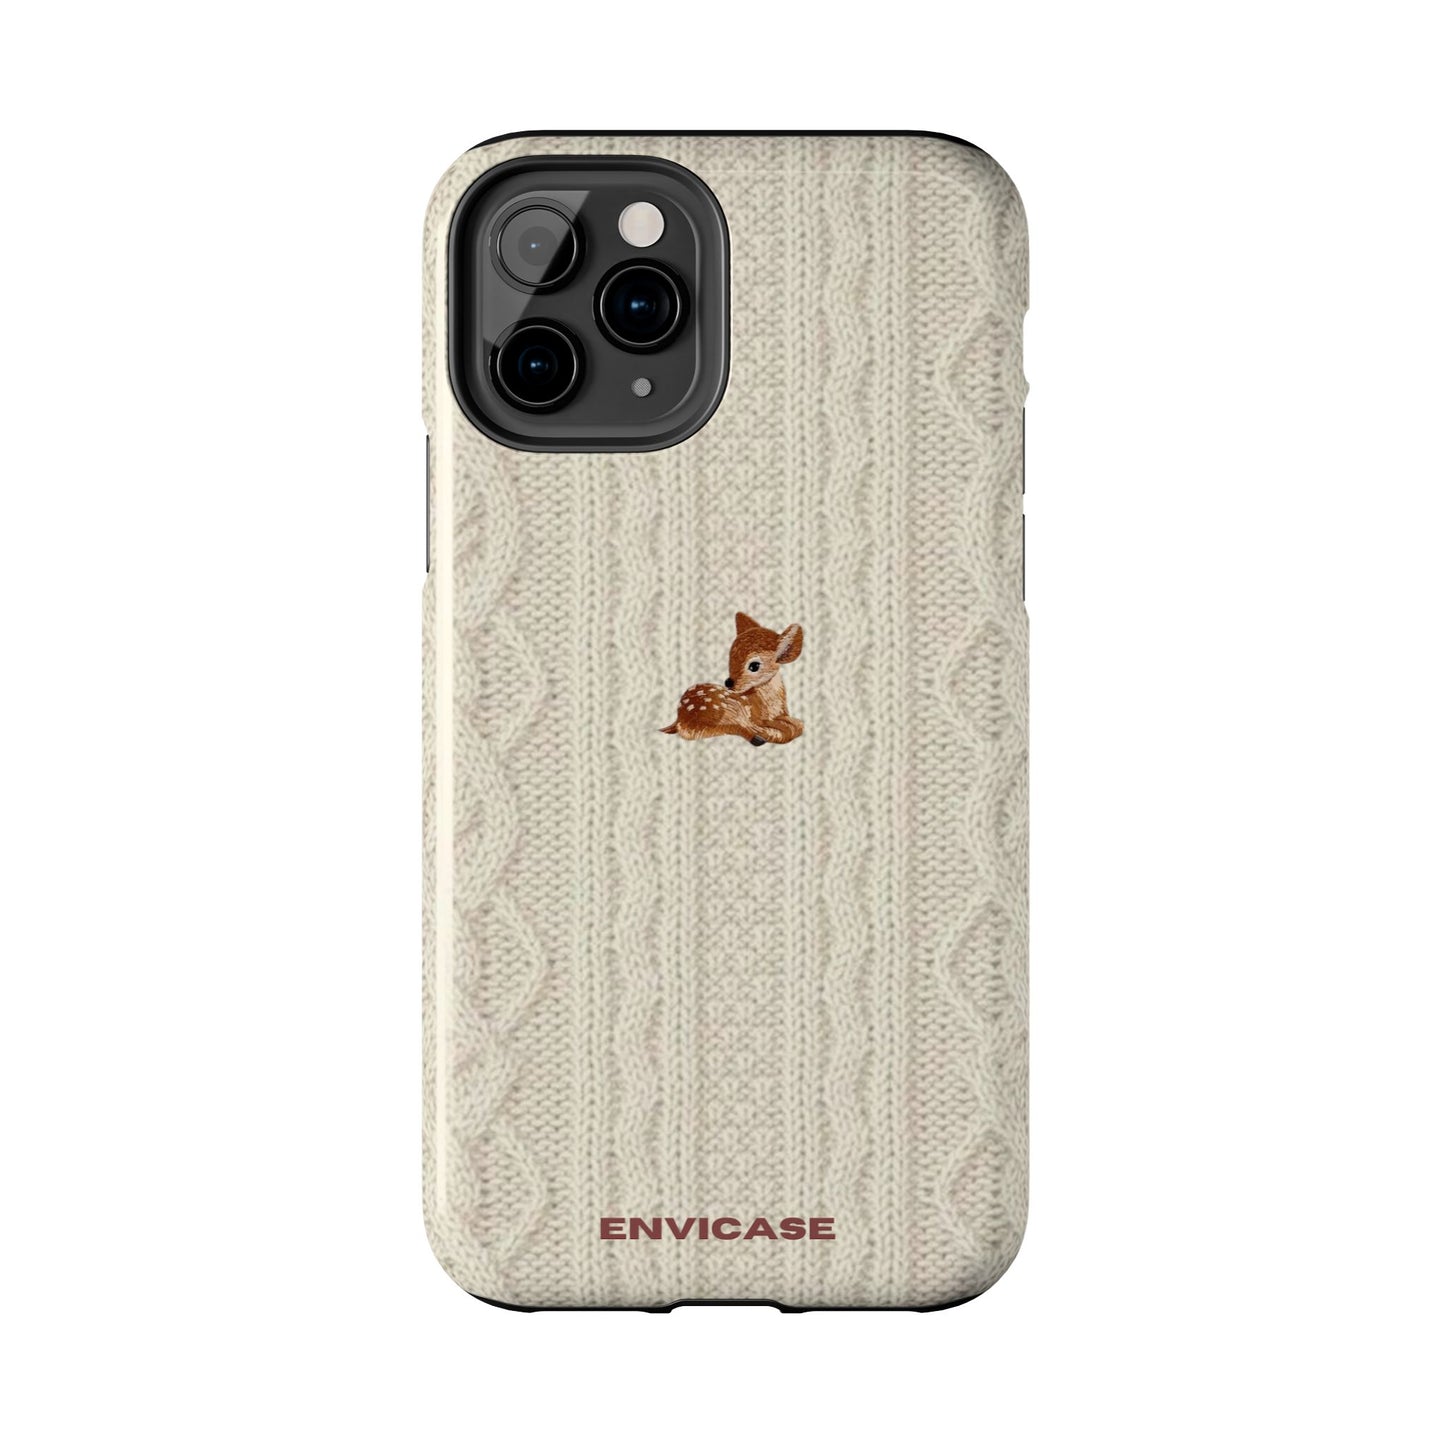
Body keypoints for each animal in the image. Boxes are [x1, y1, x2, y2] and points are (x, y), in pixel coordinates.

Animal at [660, 613, 805, 746]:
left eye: (754, 666)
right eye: (731, 656)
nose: (728, 682)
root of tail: (679, 716)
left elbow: (797, 725)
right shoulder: (757, 719)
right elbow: (790, 728)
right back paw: (757, 738)